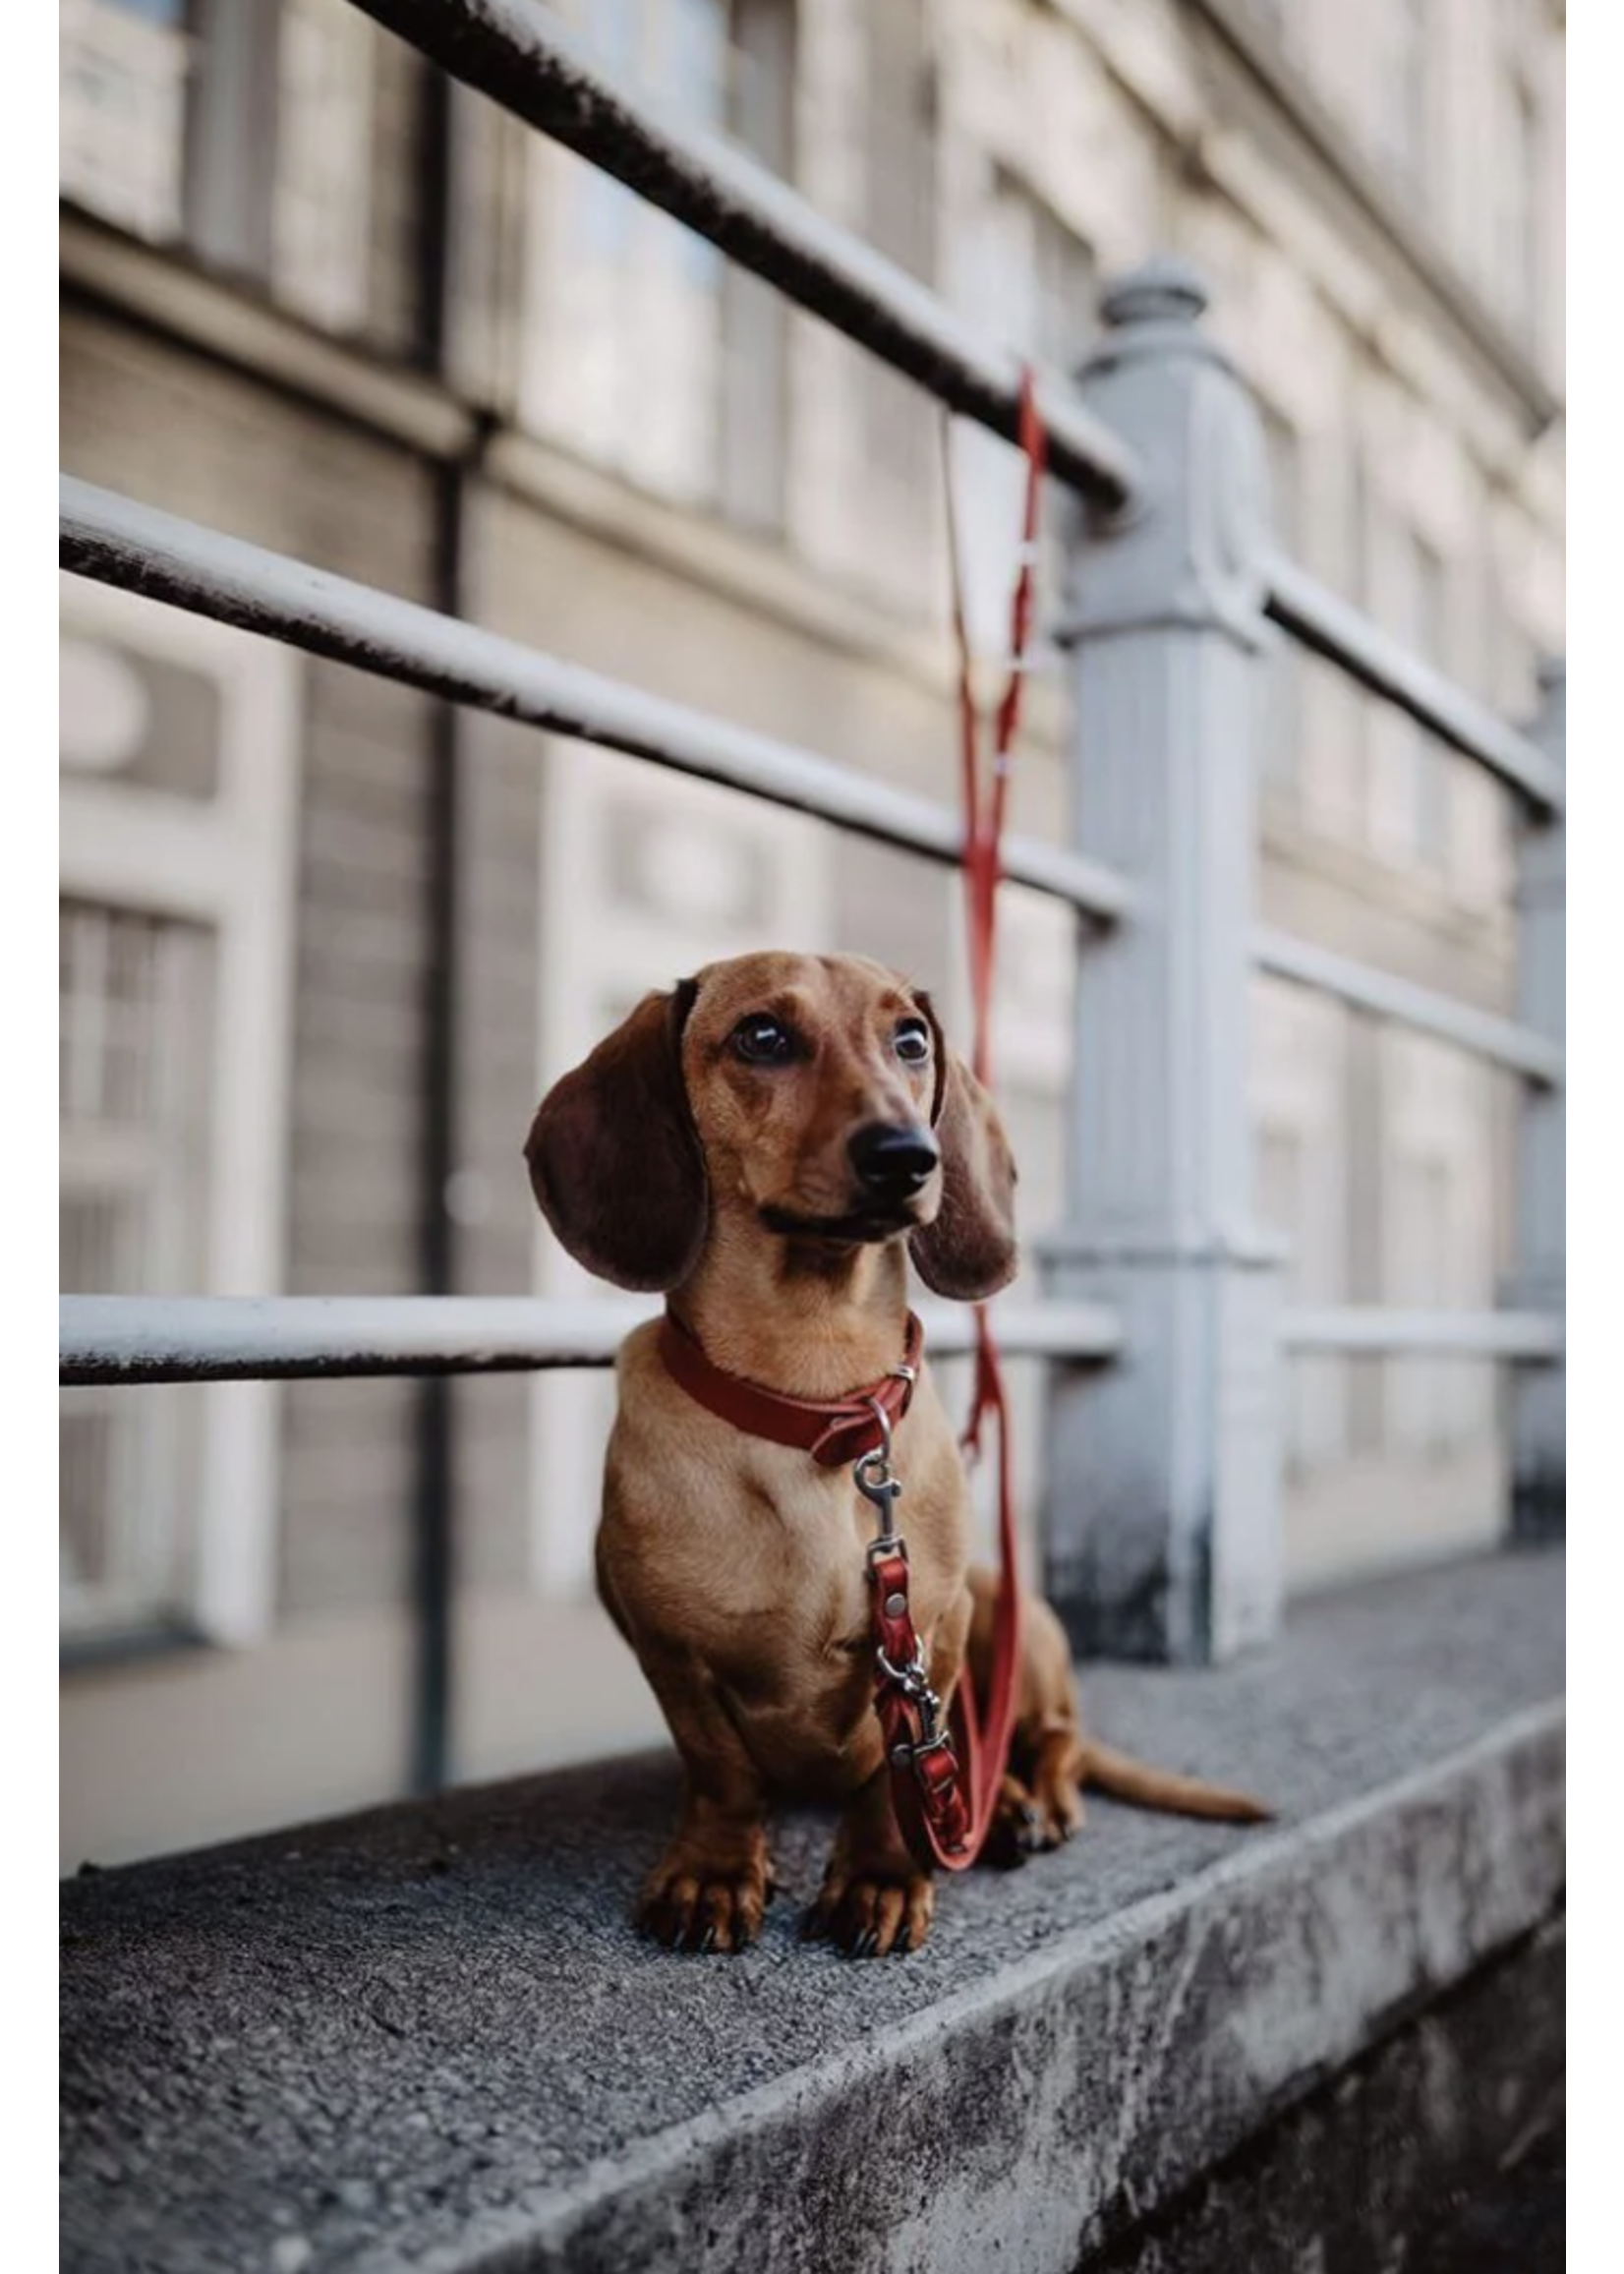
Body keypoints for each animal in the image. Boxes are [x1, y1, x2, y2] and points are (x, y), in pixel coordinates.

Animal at [525, 941, 1255, 1955]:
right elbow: (721, 1774)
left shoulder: (931, 1637)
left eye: (910, 1039)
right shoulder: (674, 1655)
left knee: (1052, 1738)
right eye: (762, 1035)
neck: (812, 1396)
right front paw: (716, 1871)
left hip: (1012, 1611)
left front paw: (880, 1874)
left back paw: (1025, 1804)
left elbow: (895, 1777)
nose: (910, 1155)